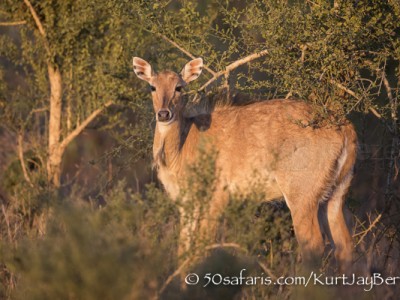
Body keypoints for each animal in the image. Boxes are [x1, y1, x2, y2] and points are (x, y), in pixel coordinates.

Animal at [133, 56, 358, 272]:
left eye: (179, 87)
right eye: (152, 87)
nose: (164, 114)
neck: (182, 146)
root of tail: (345, 129)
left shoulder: (216, 198)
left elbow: (203, 246)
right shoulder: (187, 205)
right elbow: (184, 249)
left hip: (301, 197)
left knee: (314, 245)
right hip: (334, 195)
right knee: (344, 246)